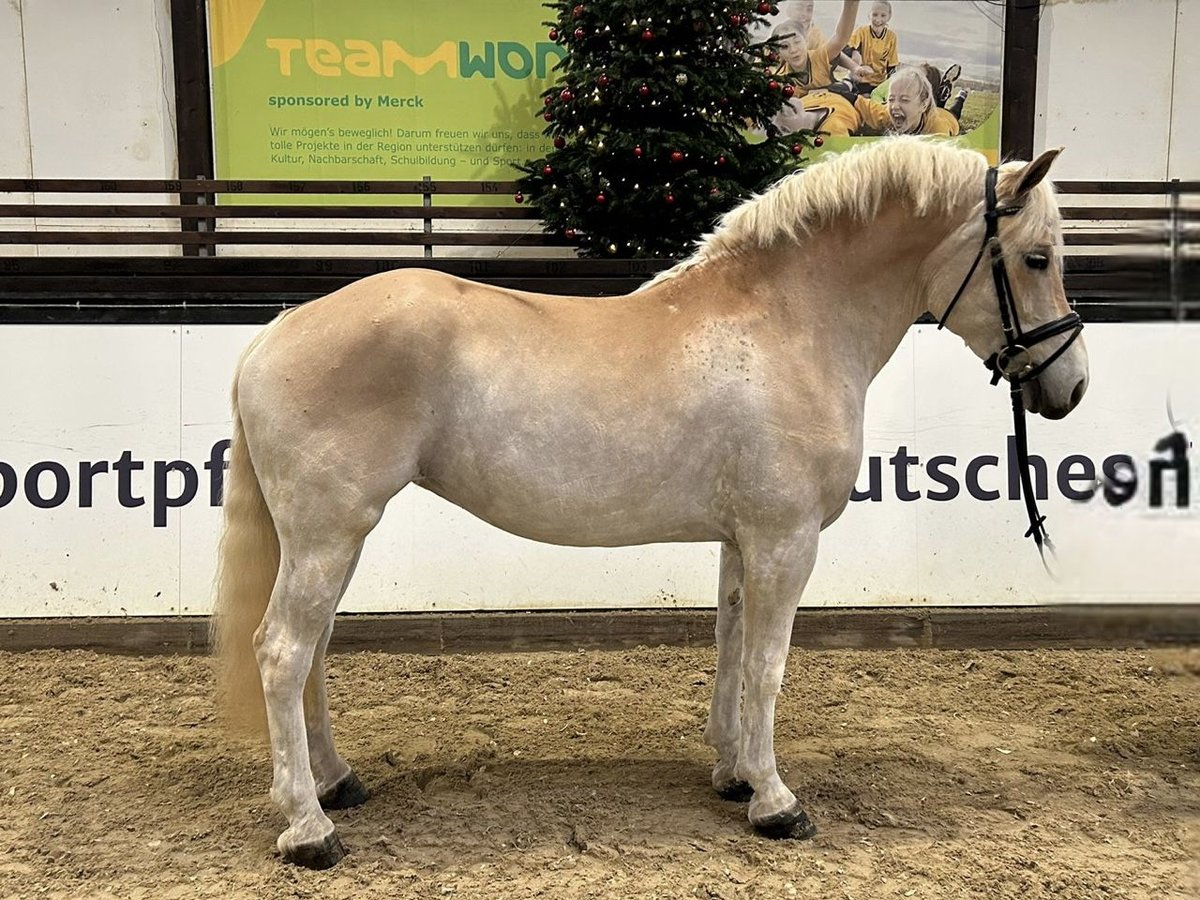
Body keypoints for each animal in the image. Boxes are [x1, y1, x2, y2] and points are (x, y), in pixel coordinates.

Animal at [211, 137, 1094, 868]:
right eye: (1037, 257)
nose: (1072, 387)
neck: (789, 323)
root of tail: (274, 332)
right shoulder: (786, 540)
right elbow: (769, 665)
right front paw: (777, 803)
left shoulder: (743, 541)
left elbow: (733, 650)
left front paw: (735, 773)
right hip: (329, 534)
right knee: (284, 653)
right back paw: (310, 829)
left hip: (332, 538)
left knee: (313, 654)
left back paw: (337, 783)